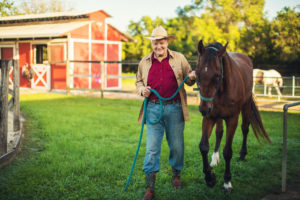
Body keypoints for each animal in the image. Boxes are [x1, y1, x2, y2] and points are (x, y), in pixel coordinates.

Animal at [195, 40, 272, 192]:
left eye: (217, 75)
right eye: (197, 73)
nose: (204, 109)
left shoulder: (232, 119)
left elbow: (228, 151)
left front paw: (227, 182)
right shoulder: (209, 118)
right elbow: (204, 146)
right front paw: (210, 178)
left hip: (246, 107)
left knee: (245, 129)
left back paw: (242, 155)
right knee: (219, 132)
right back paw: (214, 159)